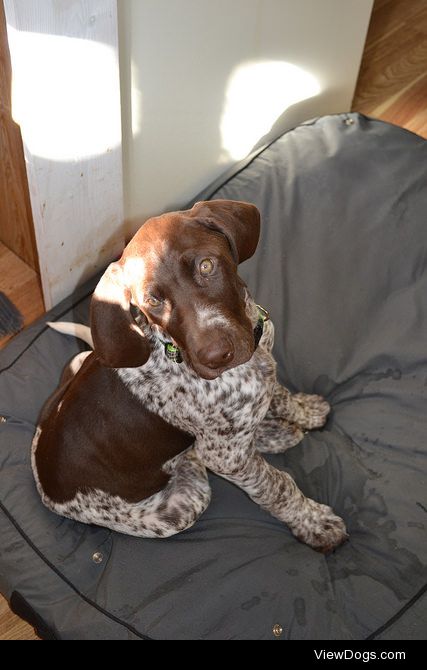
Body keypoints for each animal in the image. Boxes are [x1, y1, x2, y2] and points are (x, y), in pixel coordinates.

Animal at [32, 201, 348, 556]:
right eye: (153, 301)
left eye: (206, 266)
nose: (215, 356)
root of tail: (42, 477)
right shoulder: (226, 458)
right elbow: (277, 486)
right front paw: (314, 524)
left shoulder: (265, 372)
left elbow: (280, 396)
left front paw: (304, 411)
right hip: (188, 499)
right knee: (201, 460)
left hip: (80, 360)